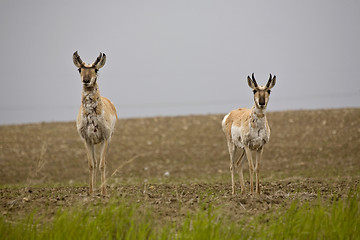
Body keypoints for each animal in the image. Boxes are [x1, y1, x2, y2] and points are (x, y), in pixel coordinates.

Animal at [72, 50, 117, 195]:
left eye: (96, 69)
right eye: (79, 69)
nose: (86, 80)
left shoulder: (104, 138)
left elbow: (102, 165)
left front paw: (104, 192)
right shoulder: (87, 140)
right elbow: (91, 164)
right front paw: (91, 192)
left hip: (107, 141)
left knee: (102, 163)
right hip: (93, 143)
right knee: (95, 162)